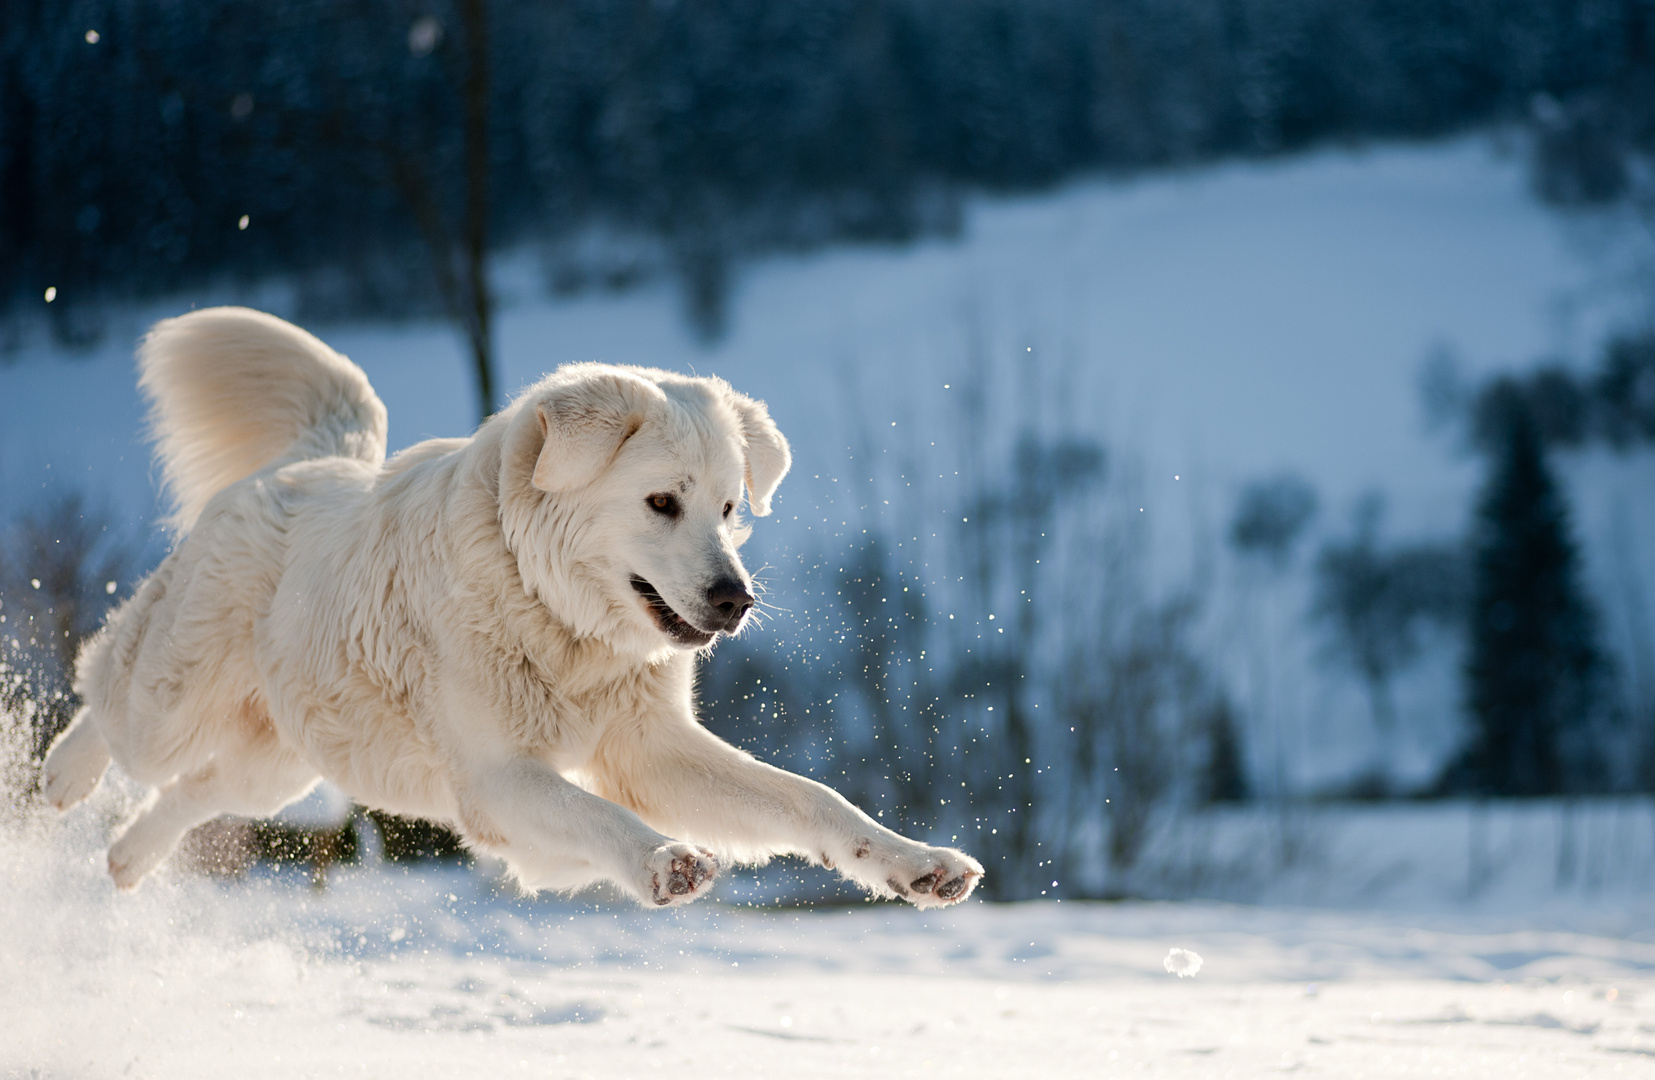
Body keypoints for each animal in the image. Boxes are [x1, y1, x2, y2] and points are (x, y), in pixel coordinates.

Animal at [41, 307, 979, 906]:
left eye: (727, 509)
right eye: (660, 503)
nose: (735, 599)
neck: (553, 615)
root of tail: (311, 459)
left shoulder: (650, 750)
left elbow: (807, 801)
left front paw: (916, 864)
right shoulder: (499, 775)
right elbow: (592, 813)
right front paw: (664, 861)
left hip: (285, 759)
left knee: (195, 790)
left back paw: (127, 861)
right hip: (174, 702)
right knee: (109, 694)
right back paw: (62, 776)